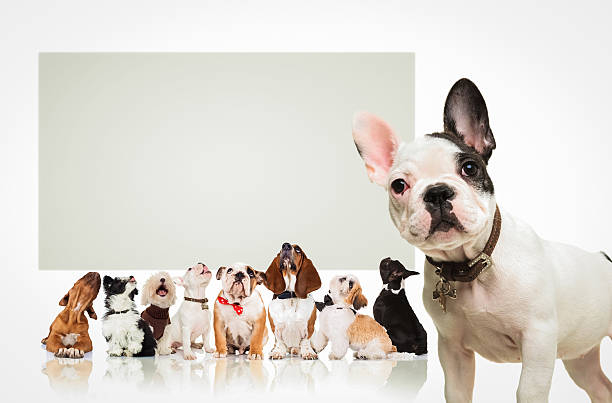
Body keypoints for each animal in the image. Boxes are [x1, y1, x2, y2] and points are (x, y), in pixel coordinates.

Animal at [352, 77, 612, 402]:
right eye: (399, 185)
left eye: (470, 168)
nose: (437, 192)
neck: (471, 264)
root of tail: (603, 257)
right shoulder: (452, 350)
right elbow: (457, 391)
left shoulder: (538, 343)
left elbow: (528, 391)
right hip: (580, 357)